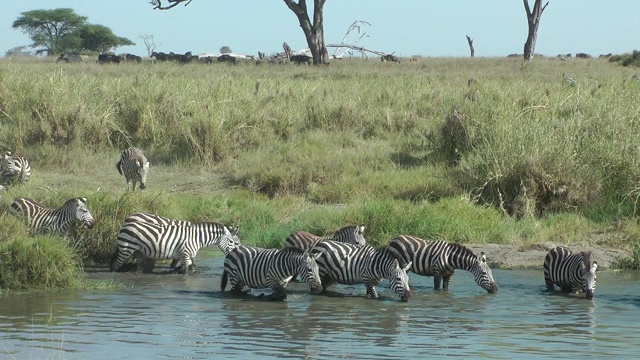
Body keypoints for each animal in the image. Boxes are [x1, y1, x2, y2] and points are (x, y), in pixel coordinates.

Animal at [110, 219, 240, 272]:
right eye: (232, 242)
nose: (236, 255)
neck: (196, 238)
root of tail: (125, 225)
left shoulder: (187, 256)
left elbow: (190, 269)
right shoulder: (185, 254)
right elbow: (186, 272)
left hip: (139, 252)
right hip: (126, 249)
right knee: (115, 265)